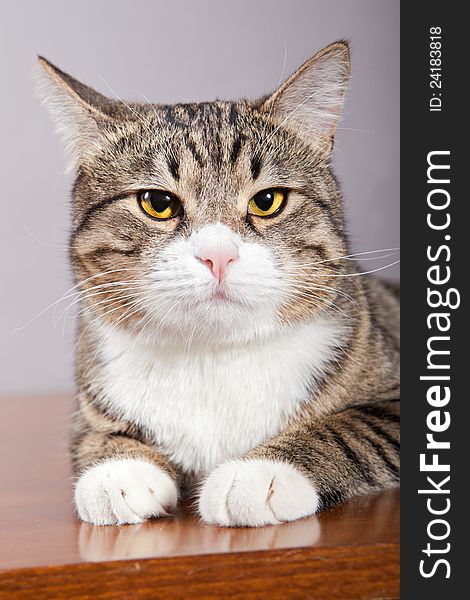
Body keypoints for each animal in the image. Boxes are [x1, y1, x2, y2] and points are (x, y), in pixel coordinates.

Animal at [35, 42, 400, 528]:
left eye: (268, 201)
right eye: (158, 203)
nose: (218, 255)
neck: (210, 357)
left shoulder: (394, 398)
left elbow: (349, 427)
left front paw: (261, 472)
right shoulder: (90, 402)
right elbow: (95, 437)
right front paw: (118, 472)